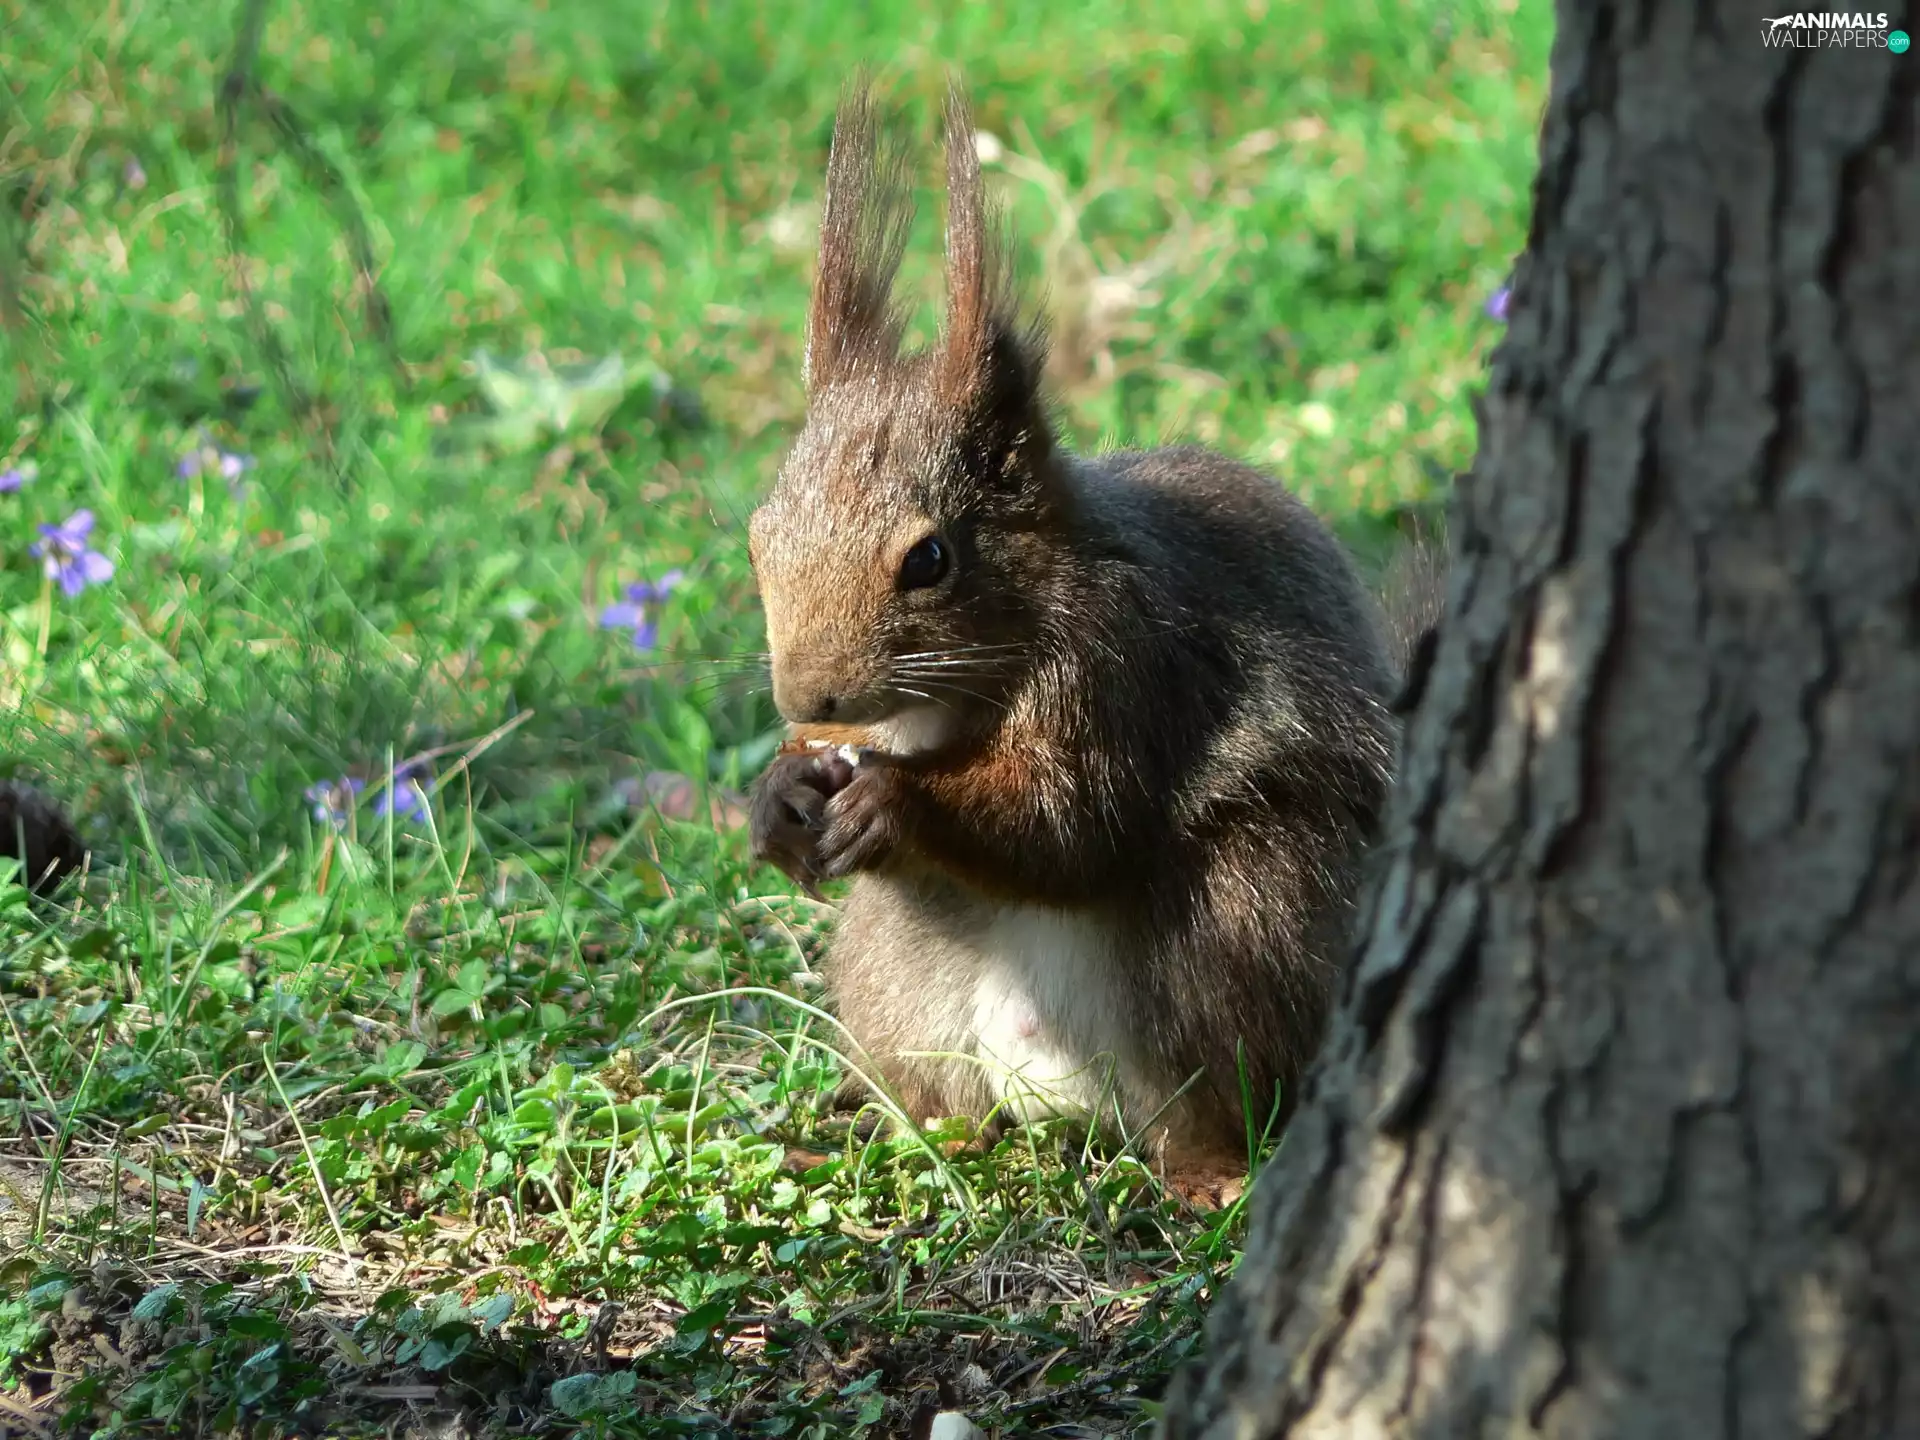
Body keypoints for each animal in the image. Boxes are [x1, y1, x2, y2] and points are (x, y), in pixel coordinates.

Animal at [746, 80, 1444, 1205]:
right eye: (758, 536)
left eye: (929, 559)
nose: (807, 699)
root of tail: (1070, 1095)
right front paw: (779, 794)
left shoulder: (1127, 660)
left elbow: (1074, 819)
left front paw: (897, 805)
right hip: (894, 978)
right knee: (943, 1094)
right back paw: (917, 1136)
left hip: (1245, 924)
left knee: (1219, 1097)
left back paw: (1211, 1172)